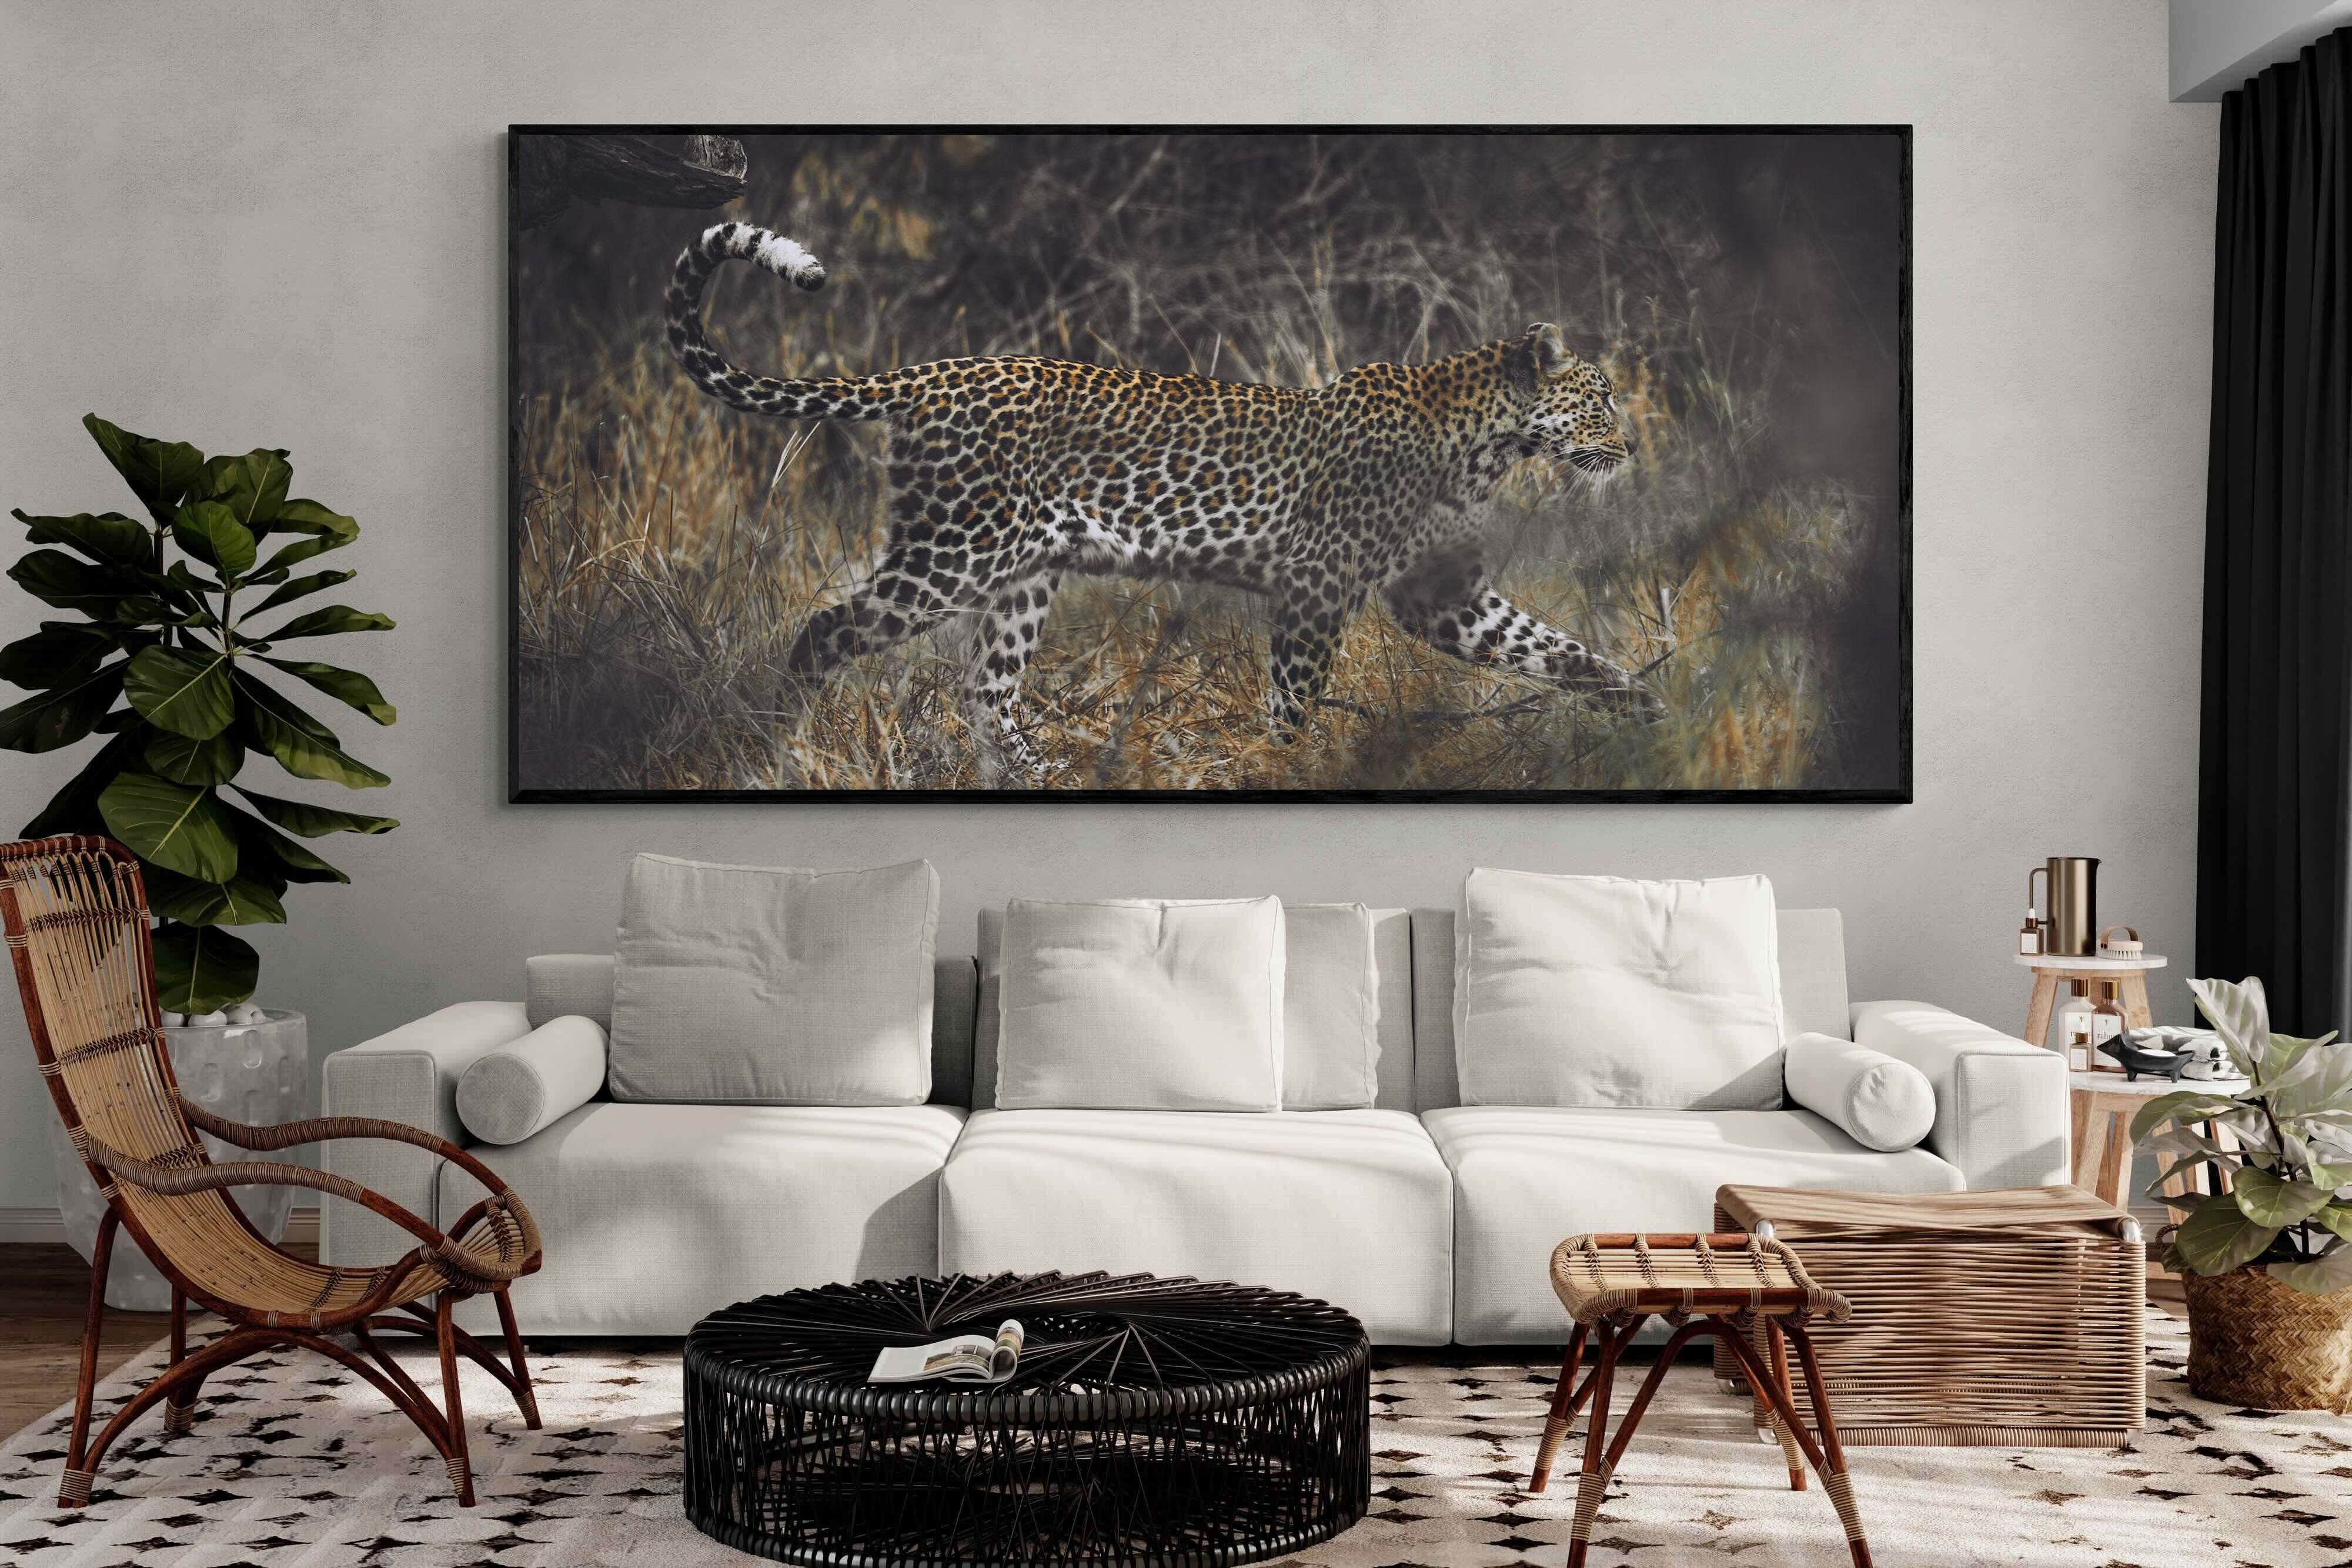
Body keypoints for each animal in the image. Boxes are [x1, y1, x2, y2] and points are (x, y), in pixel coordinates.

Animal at [664, 220, 1659, 783]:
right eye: (1602, 398)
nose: (1633, 446)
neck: (1488, 444)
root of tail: (933, 371)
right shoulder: (1317, 585)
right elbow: (1293, 695)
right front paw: (1281, 770)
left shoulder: (1441, 597)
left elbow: (1554, 647)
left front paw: (1643, 707)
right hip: (953, 553)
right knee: (824, 631)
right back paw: (780, 748)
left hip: (1023, 573)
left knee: (987, 687)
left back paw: (1041, 775)